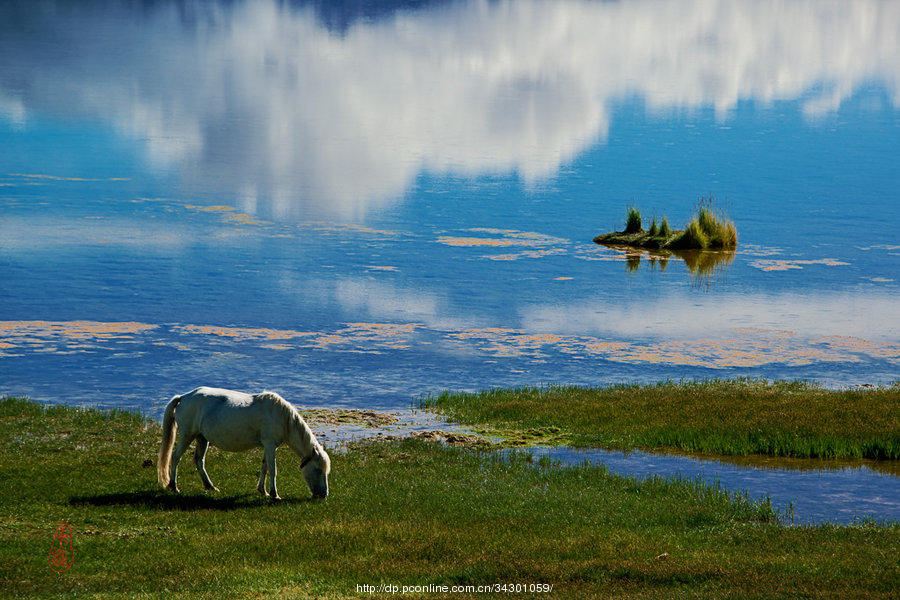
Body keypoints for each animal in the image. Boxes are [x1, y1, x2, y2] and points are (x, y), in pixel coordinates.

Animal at [158, 386, 330, 500]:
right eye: (317, 470)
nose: (323, 495)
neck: (280, 416)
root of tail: (183, 397)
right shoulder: (270, 444)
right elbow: (272, 469)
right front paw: (274, 494)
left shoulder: (267, 446)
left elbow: (264, 467)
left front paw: (263, 491)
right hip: (187, 435)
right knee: (175, 457)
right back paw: (173, 486)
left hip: (202, 438)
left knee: (199, 460)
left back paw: (210, 486)